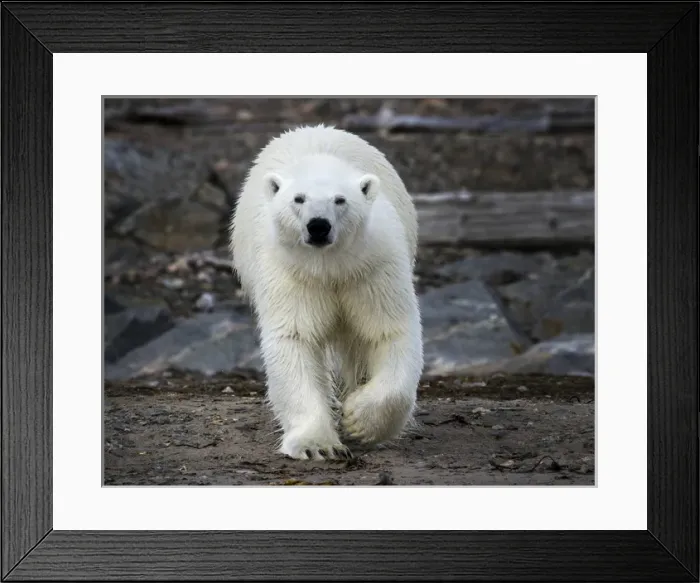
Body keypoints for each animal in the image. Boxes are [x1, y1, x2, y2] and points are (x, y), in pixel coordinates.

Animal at [229, 124, 423, 461]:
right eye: (298, 198)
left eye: (340, 200)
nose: (318, 226)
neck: (329, 267)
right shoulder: (292, 271)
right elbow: (296, 337)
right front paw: (316, 445)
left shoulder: (371, 267)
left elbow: (388, 330)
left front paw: (359, 419)